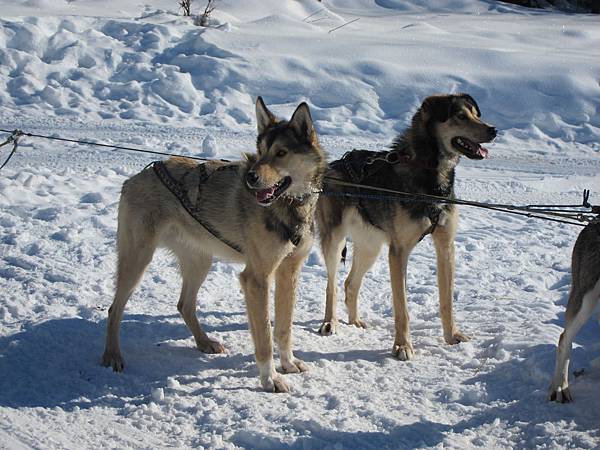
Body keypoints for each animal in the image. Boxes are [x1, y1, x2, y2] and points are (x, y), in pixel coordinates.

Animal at [103, 97, 328, 390]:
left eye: (281, 153)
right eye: (261, 151)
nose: (251, 177)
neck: (288, 208)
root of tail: (135, 178)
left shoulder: (288, 272)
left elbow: (284, 328)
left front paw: (288, 363)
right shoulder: (256, 279)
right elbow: (265, 338)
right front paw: (270, 378)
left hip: (200, 262)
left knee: (184, 305)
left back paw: (204, 342)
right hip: (137, 261)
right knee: (114, 309)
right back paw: (112, 355)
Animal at [316, 93, 494, 360]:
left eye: (476, 114)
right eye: (461, 116)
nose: (493, 130)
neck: (431, 177)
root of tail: (334, 165)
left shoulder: (446, 247)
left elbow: (447, 301)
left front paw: (452, 335)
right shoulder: (398, 252)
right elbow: (402, 309)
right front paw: (402, 346)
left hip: (371, 248)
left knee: (350, 284)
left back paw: (355, 321)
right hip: (335, 243)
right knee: (332, 285)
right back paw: (330, 322)